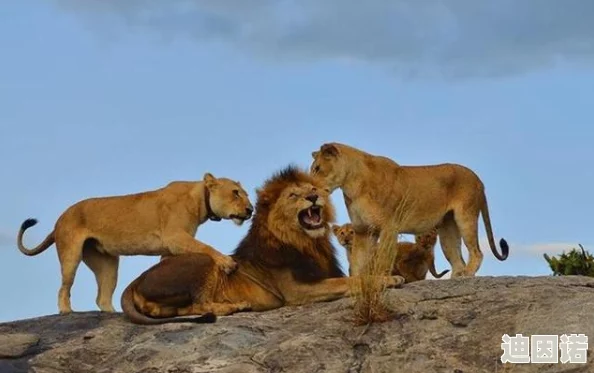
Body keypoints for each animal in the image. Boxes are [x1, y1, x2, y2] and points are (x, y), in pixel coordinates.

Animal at [17, 173, 253, 312]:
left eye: (246, 195)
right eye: (236, 193)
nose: (250, 210)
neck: (200, 199)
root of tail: (60, 218)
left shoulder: (171, 247)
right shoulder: (175, 237)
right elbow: (206, 247)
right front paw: (227, 263)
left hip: (107, 264)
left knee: (102, 297)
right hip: (71, 254)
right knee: (64, 287)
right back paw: (66, 311)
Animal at [119, 164, 402, 324]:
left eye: (313, 189)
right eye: (293, 195)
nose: (313, 197)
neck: (308, 243)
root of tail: (134, 282)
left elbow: (351, 278)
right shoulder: (297, 291)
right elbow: (352, 281)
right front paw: (390, 279)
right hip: (204, 261)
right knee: (199, 303)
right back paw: (235, 306)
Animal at [308, 142, 506, 276]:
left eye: (317, 168)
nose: (309, 188)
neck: (352, 186)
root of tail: (478, 179)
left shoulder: (389, 227)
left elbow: (383, 259)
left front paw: (382, 281)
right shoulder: (363, 230)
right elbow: (358, 263)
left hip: (466, 216)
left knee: (477, 252)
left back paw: (468, 274)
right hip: (447, 229)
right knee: (457, 261)